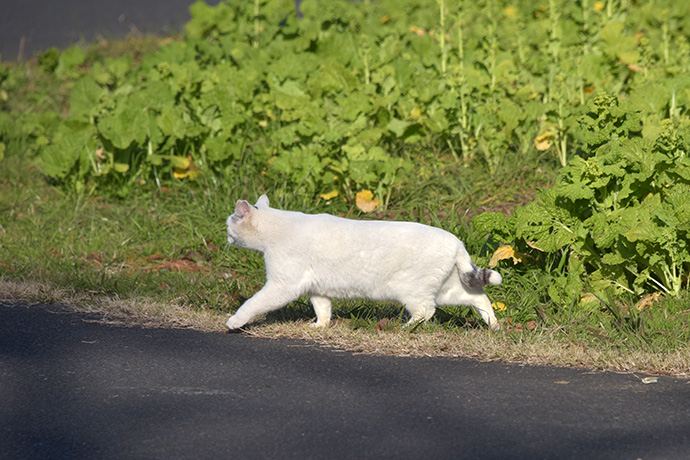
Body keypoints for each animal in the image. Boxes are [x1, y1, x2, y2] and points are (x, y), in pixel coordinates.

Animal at [226, 194, 500, 330]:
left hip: (413, 290)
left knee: (426, 311)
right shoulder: (317, 288)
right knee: (479, 297)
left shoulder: (283, 285)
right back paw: (494, 325)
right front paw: (320, 326)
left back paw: (403, 328)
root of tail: (456, 241)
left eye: (229, 225)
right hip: (447, 289)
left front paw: (235, 322)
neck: (277, 228)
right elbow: (323, 309)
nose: (226, 237)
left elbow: (253, 304)